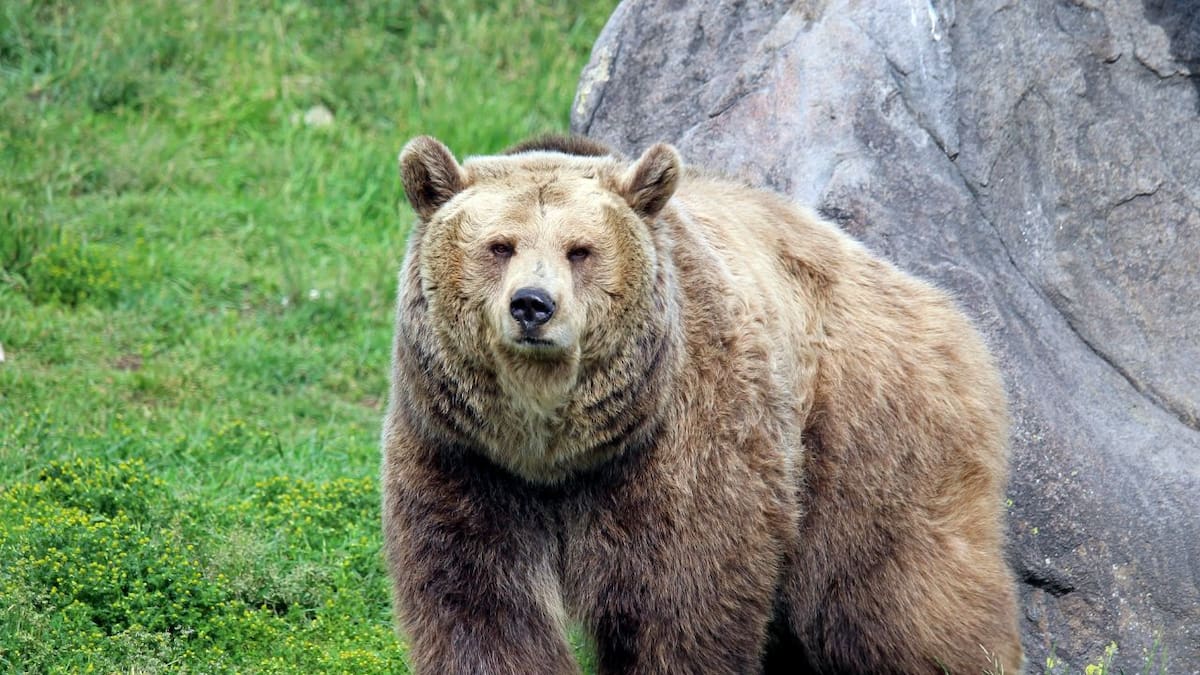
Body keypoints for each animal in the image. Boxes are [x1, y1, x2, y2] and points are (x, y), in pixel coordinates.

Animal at [382, 133, 1024, 674]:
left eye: (580, 250)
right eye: (500, 246)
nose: (532, 305)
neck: (553, 452)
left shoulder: (684, 446)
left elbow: (684, 600)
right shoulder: (464, 458)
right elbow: (480, 605)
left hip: (869, 431)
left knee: (899, 597)